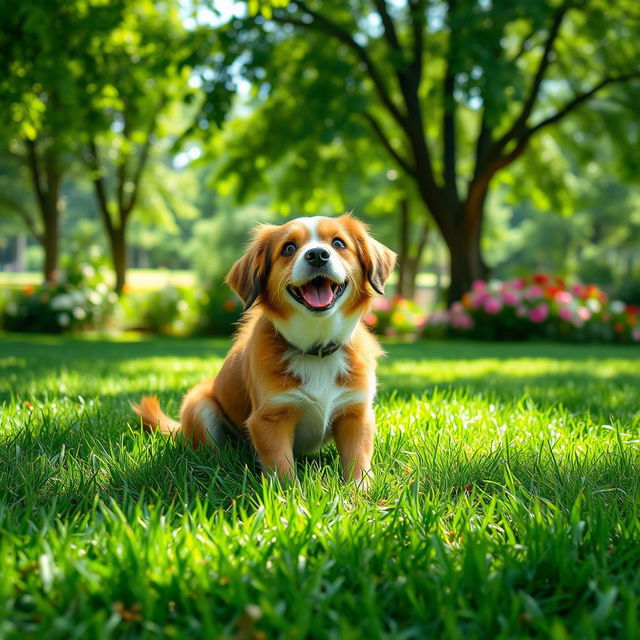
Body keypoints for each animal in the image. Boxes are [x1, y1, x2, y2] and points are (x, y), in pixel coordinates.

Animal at [132, 212, 396, 488]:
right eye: (288, 248)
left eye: (338, 243)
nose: (317, 255)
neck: (315, 346)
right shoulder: (269, 418)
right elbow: (282, 467)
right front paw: (290, 495)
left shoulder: (356, 413)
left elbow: (358, 459)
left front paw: (359, 491)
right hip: (199, 404)